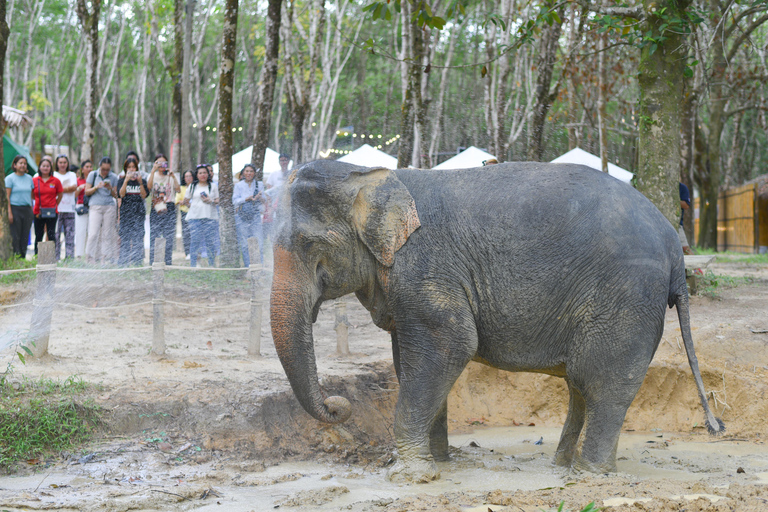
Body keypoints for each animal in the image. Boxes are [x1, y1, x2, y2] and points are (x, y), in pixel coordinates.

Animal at [268, 161, 724, 484]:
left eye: (311, 246)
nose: (338, 405)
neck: (366, 174)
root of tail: (675, 247)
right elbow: (409, 362)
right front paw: (439, 462)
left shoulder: (426, 268)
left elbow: (451, 345)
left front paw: (409, 475)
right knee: (582, 383)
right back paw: (562, 466)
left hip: (627, 297)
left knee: (604, 383)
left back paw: (588, 476)